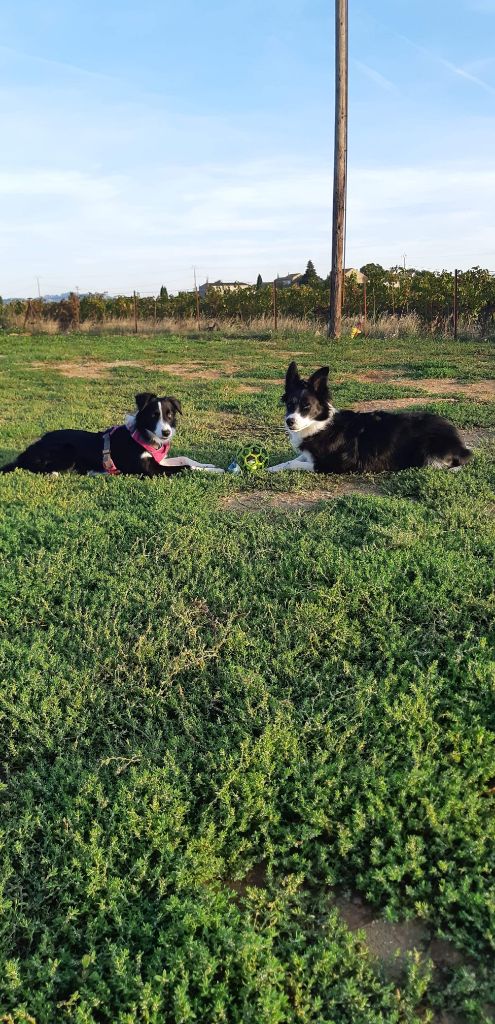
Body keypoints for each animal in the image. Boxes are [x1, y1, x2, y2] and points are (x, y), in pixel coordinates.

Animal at [268, 364, 475, 475]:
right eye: (290, 404)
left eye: (307, 406)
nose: (289, 421)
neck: (321, 425)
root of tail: (459, 442)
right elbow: (291, 460)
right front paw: (272, 467)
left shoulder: (334, 464)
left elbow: (295, 463)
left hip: (426, 450)